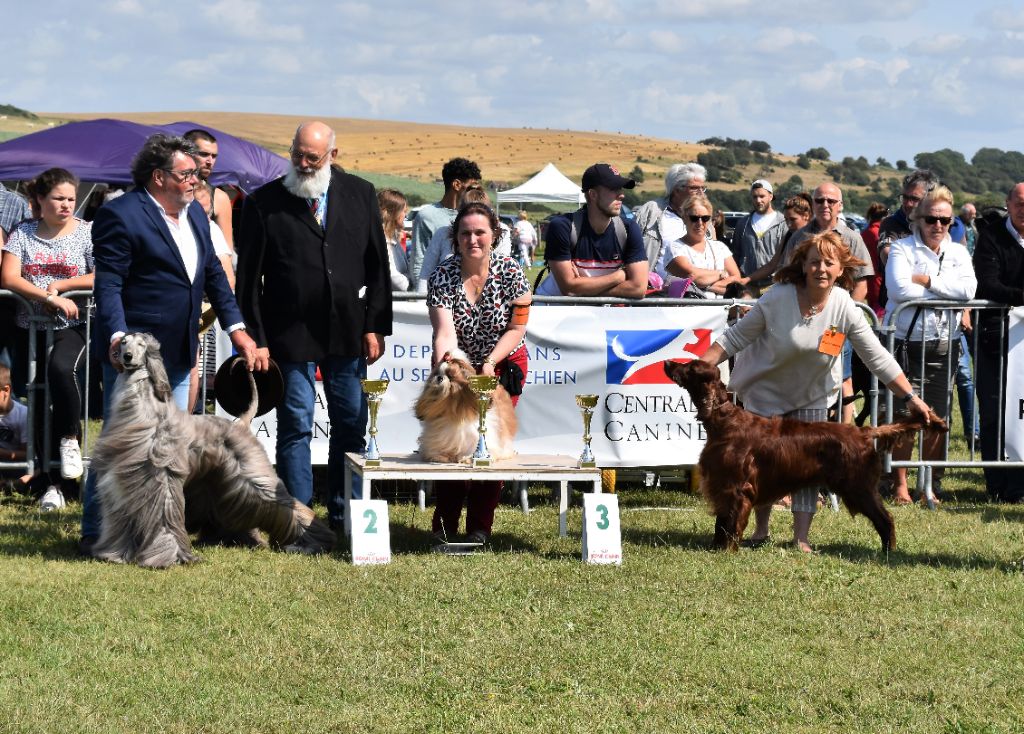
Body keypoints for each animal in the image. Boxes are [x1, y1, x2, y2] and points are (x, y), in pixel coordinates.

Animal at [90, 331, 333, 565]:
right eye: (123, 342)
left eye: (141, 345)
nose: (127, 357)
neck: (145, 414)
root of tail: (242, 423)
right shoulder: (123, 484)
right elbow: (120, 522)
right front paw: (115, 554)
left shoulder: (162, 479)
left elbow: (165, 517)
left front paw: (170, 557)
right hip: (222, 482)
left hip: (254, 476)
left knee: (286, 505)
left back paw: (310, 542)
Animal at [667, 358, 946, 552]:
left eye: (690, 367)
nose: (668, 363)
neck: (724, 420)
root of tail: (865, 431)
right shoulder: (722, 484)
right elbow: (721, 522)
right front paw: (716, 547)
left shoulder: (736, 487)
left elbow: (731, 522)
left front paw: (727, 550)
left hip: (858, 487)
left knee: (885, 519)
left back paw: (888, 552)